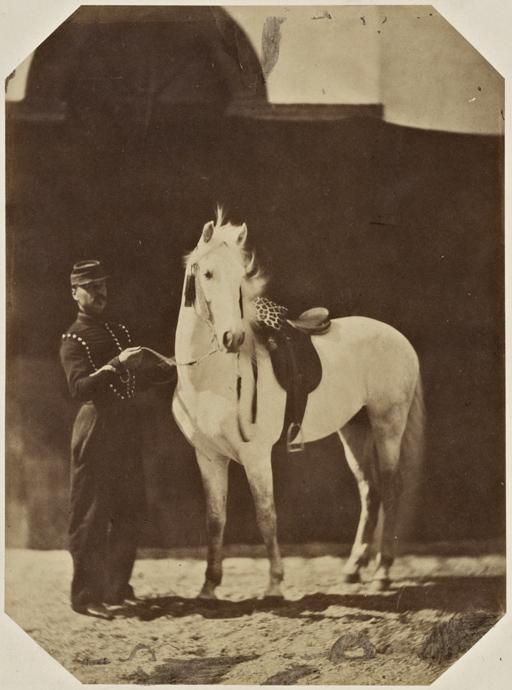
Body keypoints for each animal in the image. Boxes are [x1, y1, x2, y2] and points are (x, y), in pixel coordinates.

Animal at [172, 210, 425, 599]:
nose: (233, 338)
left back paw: (382, 572)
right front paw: (209, 588)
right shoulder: (208, 456)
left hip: (388, 426)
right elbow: (215, 519)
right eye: (208, 273)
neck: (211, 379)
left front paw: (275, 585)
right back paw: (353, 568)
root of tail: (398, 338)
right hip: (354, 430)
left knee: (391, 488)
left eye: (241, 279)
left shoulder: (256, 457)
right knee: (370, 491)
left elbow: (266, 515)